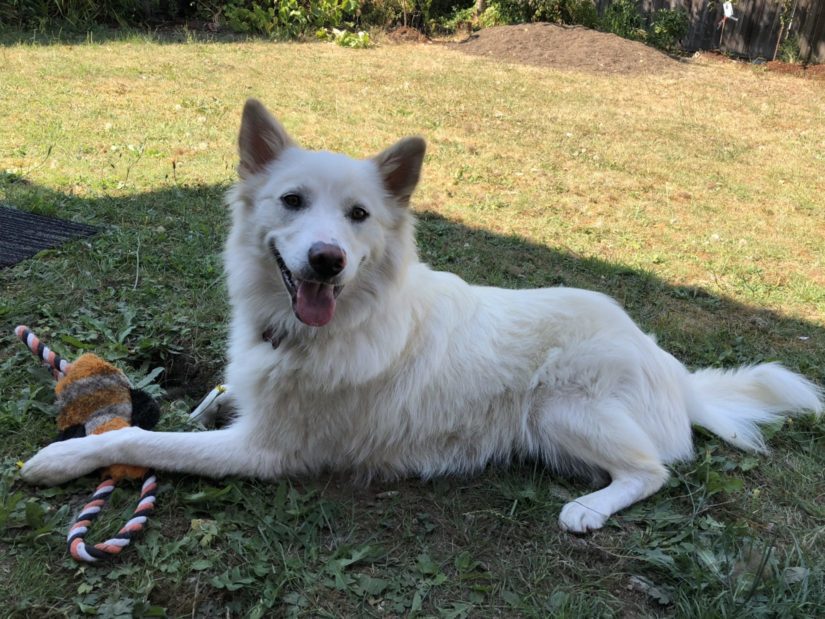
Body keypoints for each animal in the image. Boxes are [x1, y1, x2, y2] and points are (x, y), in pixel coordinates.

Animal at [20, 100, 824, 532]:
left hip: (562, 411)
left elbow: (149, 440)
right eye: (291, 202)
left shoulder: (265, 452)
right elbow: (203, 402)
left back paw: (590, 509)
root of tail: (668, 365)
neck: (327, 326)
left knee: (653, 469)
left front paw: (63, 458)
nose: (325, 261)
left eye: (357, 215)